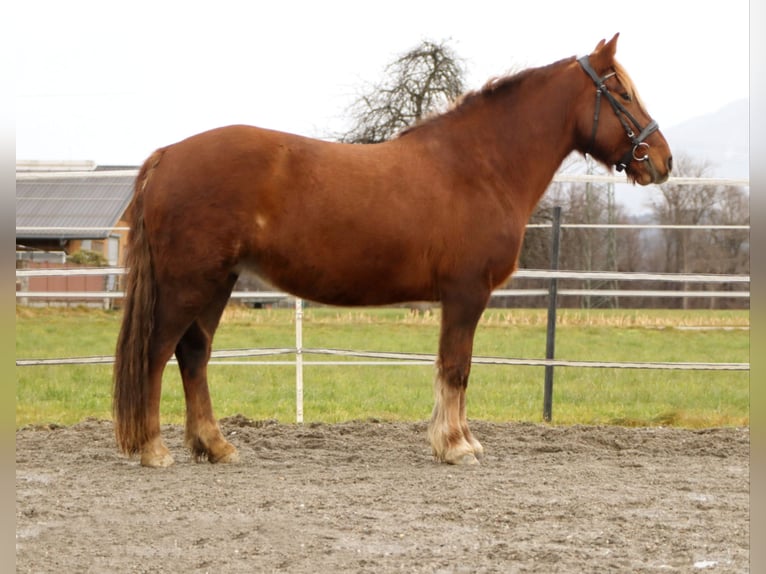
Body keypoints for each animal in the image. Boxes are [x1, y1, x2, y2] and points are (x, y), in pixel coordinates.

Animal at [112, 33, 672, 468]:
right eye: (621, 92)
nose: (662, 160)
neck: (480, 164)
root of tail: (167, 156)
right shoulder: (466, 294)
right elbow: (456, 367)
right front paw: (455, 446)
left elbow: (454, 368)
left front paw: (459, 441)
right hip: (189, 282)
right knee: (157, 353)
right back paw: (155, 450)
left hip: (217, 282)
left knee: (194, 353)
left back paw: (215, 446)